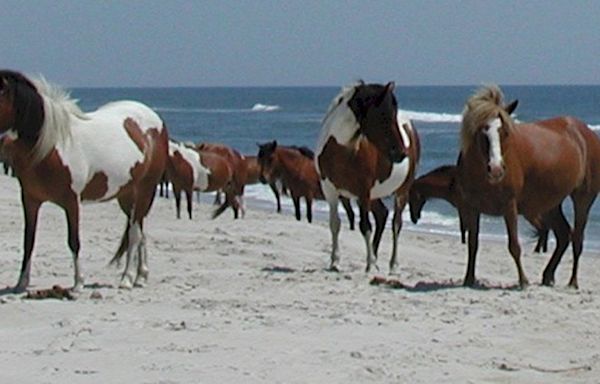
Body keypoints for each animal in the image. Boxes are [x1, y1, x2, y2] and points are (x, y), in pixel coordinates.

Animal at [0, 70, 168, 292]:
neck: (52, 145)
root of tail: (156, 120)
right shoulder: (30, 200)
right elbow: (29, 240)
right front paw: (21, 283)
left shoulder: (72, 202)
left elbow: (74, 241)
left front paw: (78, 283)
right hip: (127, 196)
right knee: (141, 231)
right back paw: (141, 276)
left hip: (145, 190)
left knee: (134, 234)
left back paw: (127, 279)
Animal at [316, 81, 420, 272]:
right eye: (383, 115)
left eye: (393, 116)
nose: (401, 153)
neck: (342, 149)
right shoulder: (330, 190)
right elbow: (335, 224)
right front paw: (335, 261)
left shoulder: (363, 192)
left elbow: (365, 226)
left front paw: (370, 264)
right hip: (373, 195)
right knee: (382, 215)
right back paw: (375, 258)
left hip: (402, 191)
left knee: (396, 224)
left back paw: (392, 264)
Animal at [454, 85, 600, 288]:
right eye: (482, 133)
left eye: (505, 132)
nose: (496, 170)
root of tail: (586, 133)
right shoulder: (472, 207)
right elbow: (473, 244)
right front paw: (469, 279)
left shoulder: (509, 205)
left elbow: (514, 246)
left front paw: (523, 281)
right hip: (550, 203)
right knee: (564, 235)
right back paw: (548, 276)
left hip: (583, 199)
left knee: (577, 238)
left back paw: (573, 282)